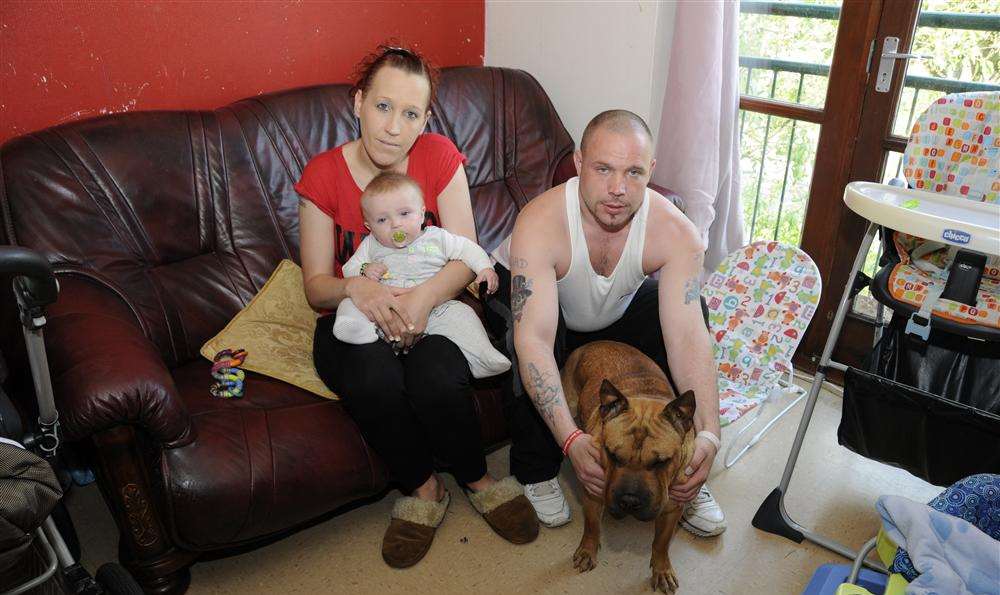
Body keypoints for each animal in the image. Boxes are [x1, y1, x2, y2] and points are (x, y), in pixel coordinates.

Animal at [564, 342, 696, 592]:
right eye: (612, 455)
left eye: (661, 462)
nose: (629, 501)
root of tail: (593, 342)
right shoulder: (593, 494)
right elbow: (592, 526)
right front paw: (588, 550)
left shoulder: (673, 509)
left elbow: (661, 543)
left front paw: (661, 569)